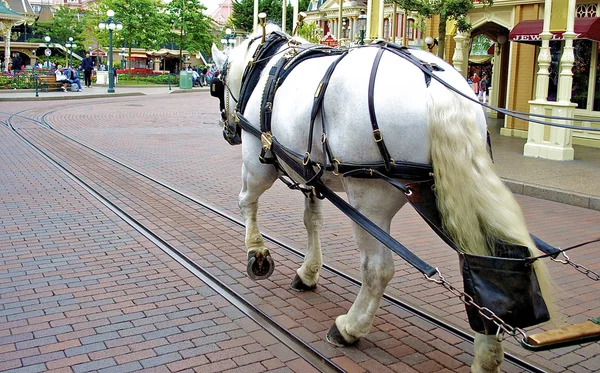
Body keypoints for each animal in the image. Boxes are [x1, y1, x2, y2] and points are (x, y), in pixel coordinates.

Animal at [211, 29, 552, 372]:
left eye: (215, 86)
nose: (228, 132)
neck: (265, 69)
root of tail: (436, 83)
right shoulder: (309, 173)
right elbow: (312, 221)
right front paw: (307, 273)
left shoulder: (258, 160)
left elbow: (246, 201)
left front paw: (257, 254)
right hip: (449, 191)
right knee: (480, 263)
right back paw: (487, 356)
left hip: (369, 200)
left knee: (378, 270)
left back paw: (348, 328)